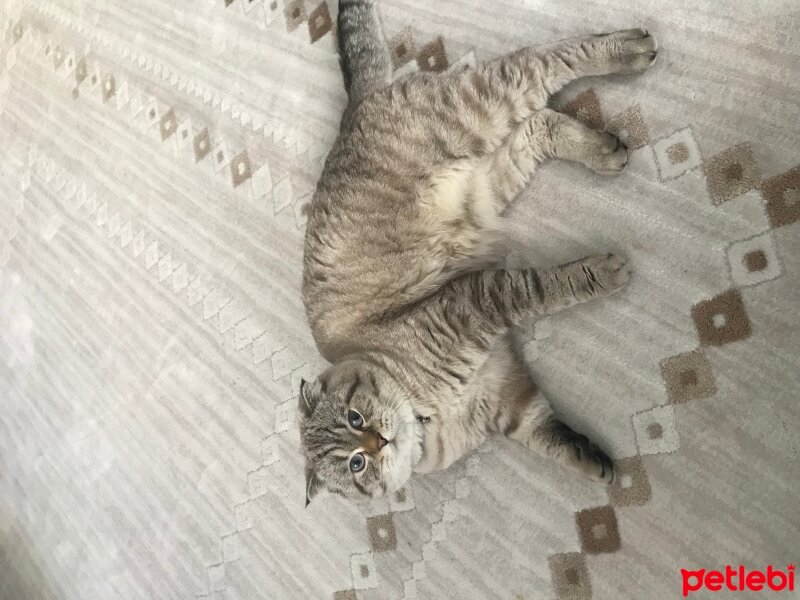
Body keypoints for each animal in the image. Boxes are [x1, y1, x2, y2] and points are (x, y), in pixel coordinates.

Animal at [300, 0, 656, 504]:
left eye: (355, 418)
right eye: (356, 464)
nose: (378, 441)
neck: (429, 416)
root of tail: (353, 110)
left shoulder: (477, 301)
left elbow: (550, 286)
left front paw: (604, 275)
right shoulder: (513, 403)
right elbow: (555, 441)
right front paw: (597, 466)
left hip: (476, 108)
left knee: (542, 62)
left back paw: (630, 50)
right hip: (489, 183)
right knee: (539, 123)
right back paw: (604, 150)